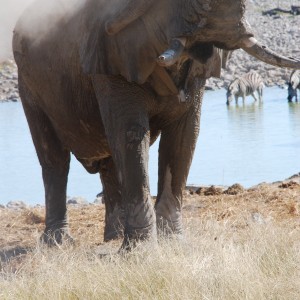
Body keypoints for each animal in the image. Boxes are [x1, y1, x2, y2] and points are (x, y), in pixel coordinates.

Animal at [12, 0, 300, 250]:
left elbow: (185, 136)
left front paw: (172, 243)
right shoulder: (108, 53)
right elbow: (130, 134)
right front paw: (139, 253)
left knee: (108, 162)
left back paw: (113, 237)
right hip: (28, 85)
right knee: (55, 160)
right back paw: (57, 243)